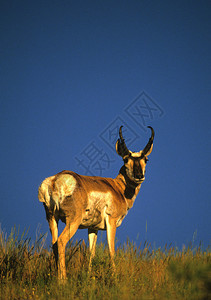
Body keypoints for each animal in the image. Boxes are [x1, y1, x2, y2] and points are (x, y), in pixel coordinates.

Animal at [38, 125, 154, 280]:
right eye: (125, 159)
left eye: (145, 159)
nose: (139, 176)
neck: (117, 188)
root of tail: (55, 179)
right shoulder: (111, 222)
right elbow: (111, 251)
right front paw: (114, 279)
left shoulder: (93, 228)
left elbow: (91, 254)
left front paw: (88, 277)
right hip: (72, 221)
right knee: (61, 242)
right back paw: (63, 281)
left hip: (52, 218)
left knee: (55, 244)